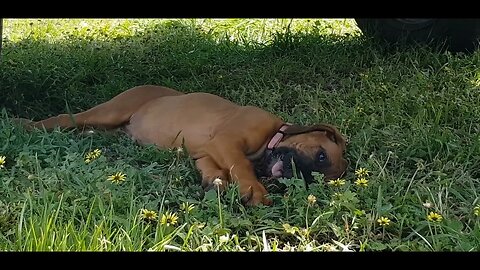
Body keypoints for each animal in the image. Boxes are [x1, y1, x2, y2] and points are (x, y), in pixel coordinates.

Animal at [24, 85, 346, 206]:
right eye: (320, 156)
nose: (299, 178)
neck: (272, 138)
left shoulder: (206, 153)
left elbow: (215, 168)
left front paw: (216, 182)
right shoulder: (228, 142)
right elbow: (240, 165)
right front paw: (254, 190)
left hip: (109, 127)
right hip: (110, 111)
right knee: (64, 118)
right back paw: (22, 124)